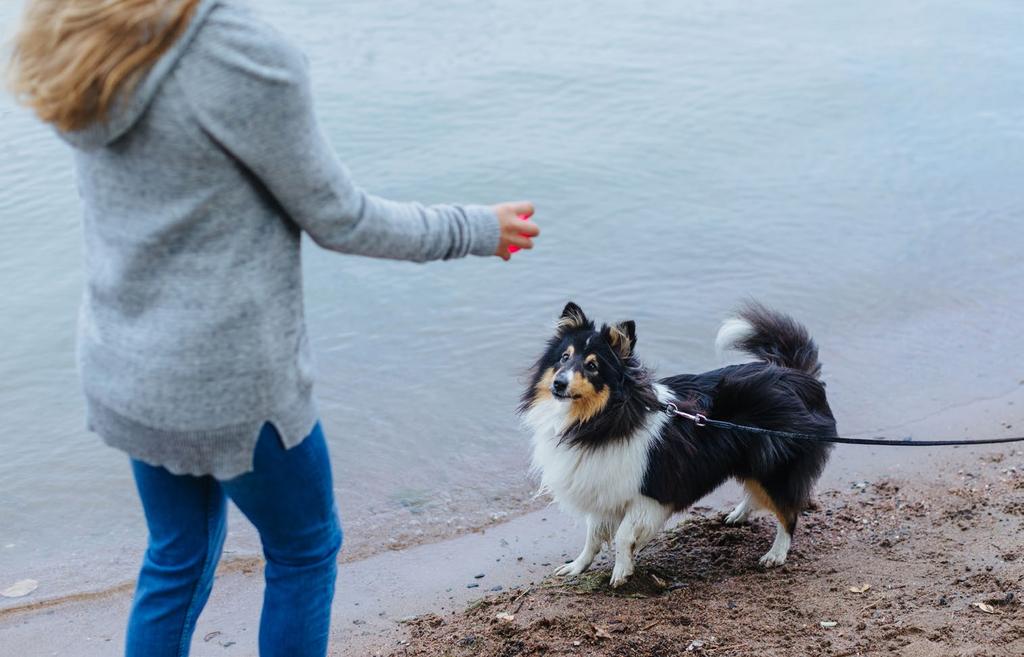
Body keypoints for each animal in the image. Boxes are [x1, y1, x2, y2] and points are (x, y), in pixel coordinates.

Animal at [520, 300, 831, 581]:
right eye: (564, 357)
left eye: (593, 366)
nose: (558, 384)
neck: (603, 418)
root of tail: (795, 374)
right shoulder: (602, 487)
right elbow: (593, 536)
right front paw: (578, 566)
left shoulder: (649, 493)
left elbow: (622, 535)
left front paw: (622, 571)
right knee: (758, 494)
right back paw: (738, 515)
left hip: (776, 468)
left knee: (788, 513)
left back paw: (776, 554)